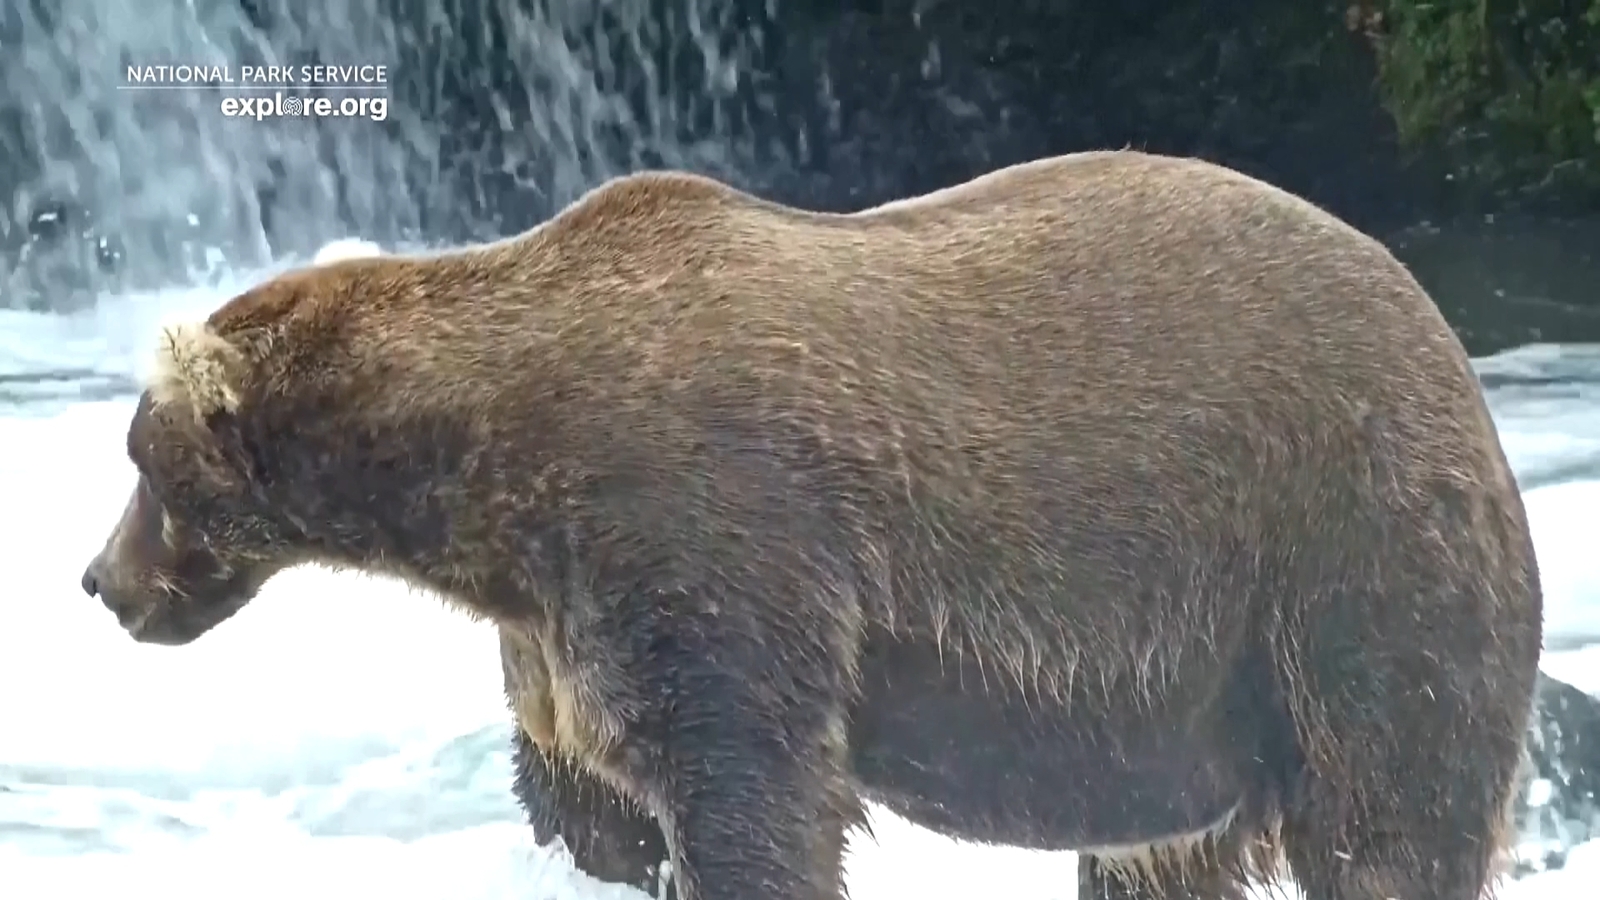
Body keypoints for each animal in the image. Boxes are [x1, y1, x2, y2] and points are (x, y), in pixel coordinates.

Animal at [79, 149, 1543, 900]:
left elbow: (750, 787)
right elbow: (583, 793)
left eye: (139, 459)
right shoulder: (555, 620)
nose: (99, 581)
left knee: (1387, 818)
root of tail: (1449, 351)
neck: (482, 483)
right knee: (1163, 864)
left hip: (1337, 555)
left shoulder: (704, 535)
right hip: (1203, 694)